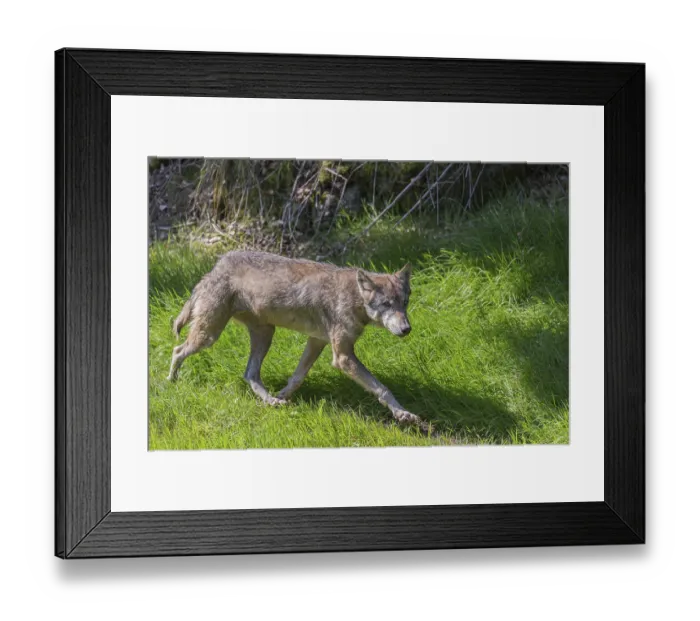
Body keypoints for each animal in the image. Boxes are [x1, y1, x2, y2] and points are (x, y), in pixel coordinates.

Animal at [167, 250, 424, 427]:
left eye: (405, 303)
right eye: (386, 305)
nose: (407, 329)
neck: (354, 297)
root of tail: (217, 265)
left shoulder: (316, 341)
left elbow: (297, 378)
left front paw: (283, 395)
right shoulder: (343, 357)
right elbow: (382, 389)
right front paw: (404, 414)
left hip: (265, 335)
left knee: (250, 374)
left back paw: (272, 401)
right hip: (209, 337)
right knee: (177, 350)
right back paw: (171, 381)